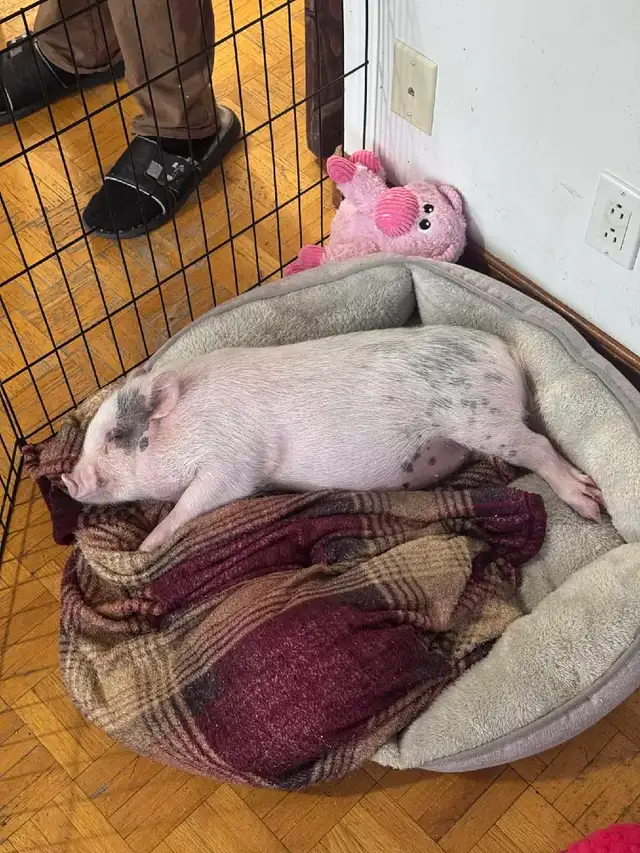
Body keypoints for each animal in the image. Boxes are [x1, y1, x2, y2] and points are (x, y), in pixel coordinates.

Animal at [61, 325, 604, 553]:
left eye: (116, 436)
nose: (69, 480)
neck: (187, 425)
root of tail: (508, 352)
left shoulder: (233, 463)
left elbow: (195, 502)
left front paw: (145, 547)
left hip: (483, 418)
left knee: (537, 447)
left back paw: (591, 505)